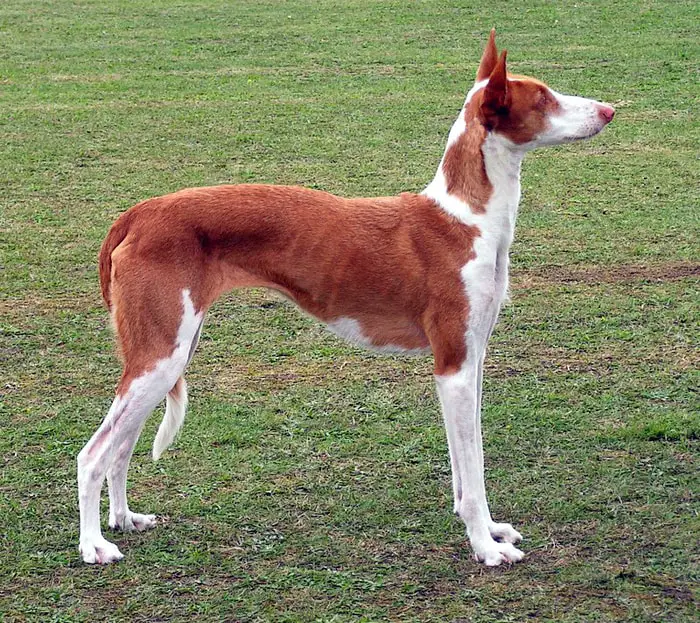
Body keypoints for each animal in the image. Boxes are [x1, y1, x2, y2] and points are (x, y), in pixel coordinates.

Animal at [78, 31, 612, 568]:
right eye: (543, 98)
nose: (610, 109)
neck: (465, 220)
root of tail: (138, 214)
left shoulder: (472, 360)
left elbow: (470, 466)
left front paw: (491, 531)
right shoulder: (453, 367)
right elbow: (473, 474)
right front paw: (485, 546)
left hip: (167, 354)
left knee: (120, 448)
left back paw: (124, 519)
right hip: (159, 358)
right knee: (92, 455)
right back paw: (95, 544)